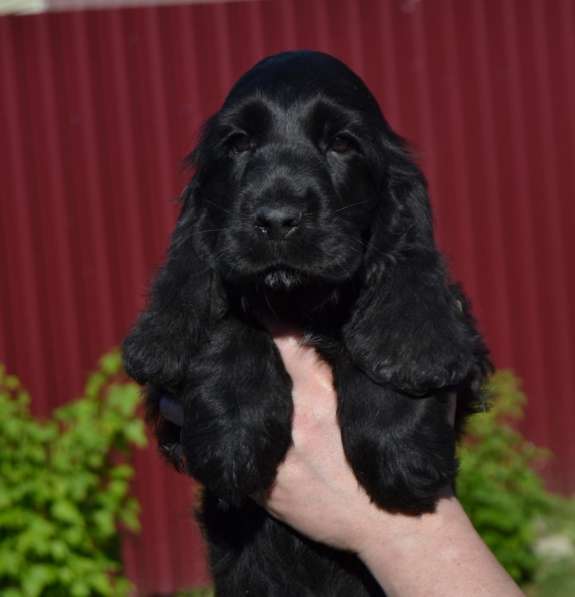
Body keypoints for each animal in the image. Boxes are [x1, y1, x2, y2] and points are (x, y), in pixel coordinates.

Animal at [122, 52, 490, 596]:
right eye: (238, 143)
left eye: (341, 143)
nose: (277, 219)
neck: (297, 299)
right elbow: (223, 319)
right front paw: (234, 434)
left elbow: (387, 324)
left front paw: (402, 451)